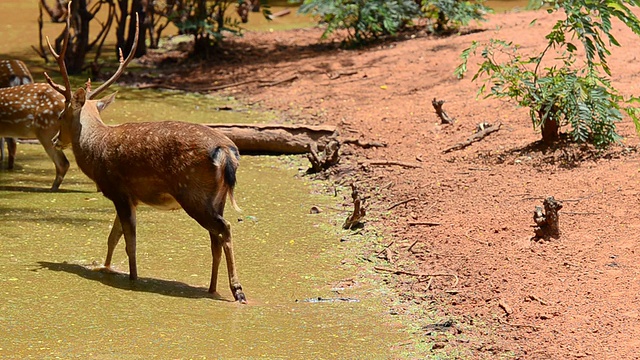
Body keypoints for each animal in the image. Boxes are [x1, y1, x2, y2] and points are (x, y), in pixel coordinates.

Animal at [46, 7, 246, 302]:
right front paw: (105, 268)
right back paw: (211, 288)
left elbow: (130, 241)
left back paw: (237, 290)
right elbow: (113, 236)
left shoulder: (117, 189)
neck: (95, 151)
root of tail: (227, 153)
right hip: (215, 198)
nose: (55, 139)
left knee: (225, 229)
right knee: (215, 239)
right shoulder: (130, 197)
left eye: (60, 115)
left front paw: (133, 277)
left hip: (193, 193)